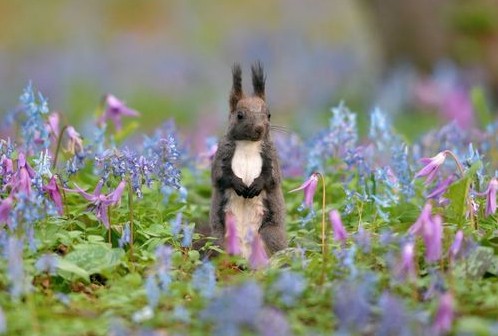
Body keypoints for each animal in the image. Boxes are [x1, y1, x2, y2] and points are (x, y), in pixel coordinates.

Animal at [210, 62, 288, 258]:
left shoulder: (271, 155)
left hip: (270, 233)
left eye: (269, 115)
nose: (259, 128)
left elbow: (272, 178)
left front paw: (256, 185)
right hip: (219, 241)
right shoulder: (221, 154)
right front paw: (238, 184)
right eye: (240, 115)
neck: (247, 145)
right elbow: (220, 177)